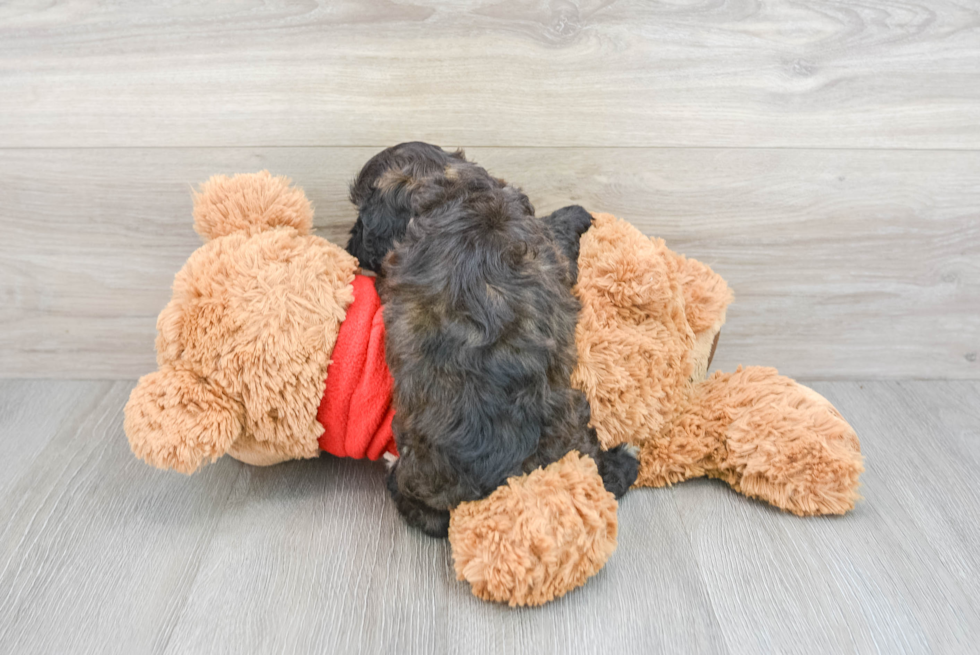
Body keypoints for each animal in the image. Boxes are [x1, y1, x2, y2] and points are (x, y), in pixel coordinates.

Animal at [348, 144, 640, 540]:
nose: (349, 242)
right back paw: (623, 461)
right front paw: (576, 214)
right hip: (573, 416)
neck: (450, 190)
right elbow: (558, 230)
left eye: (361, 215)